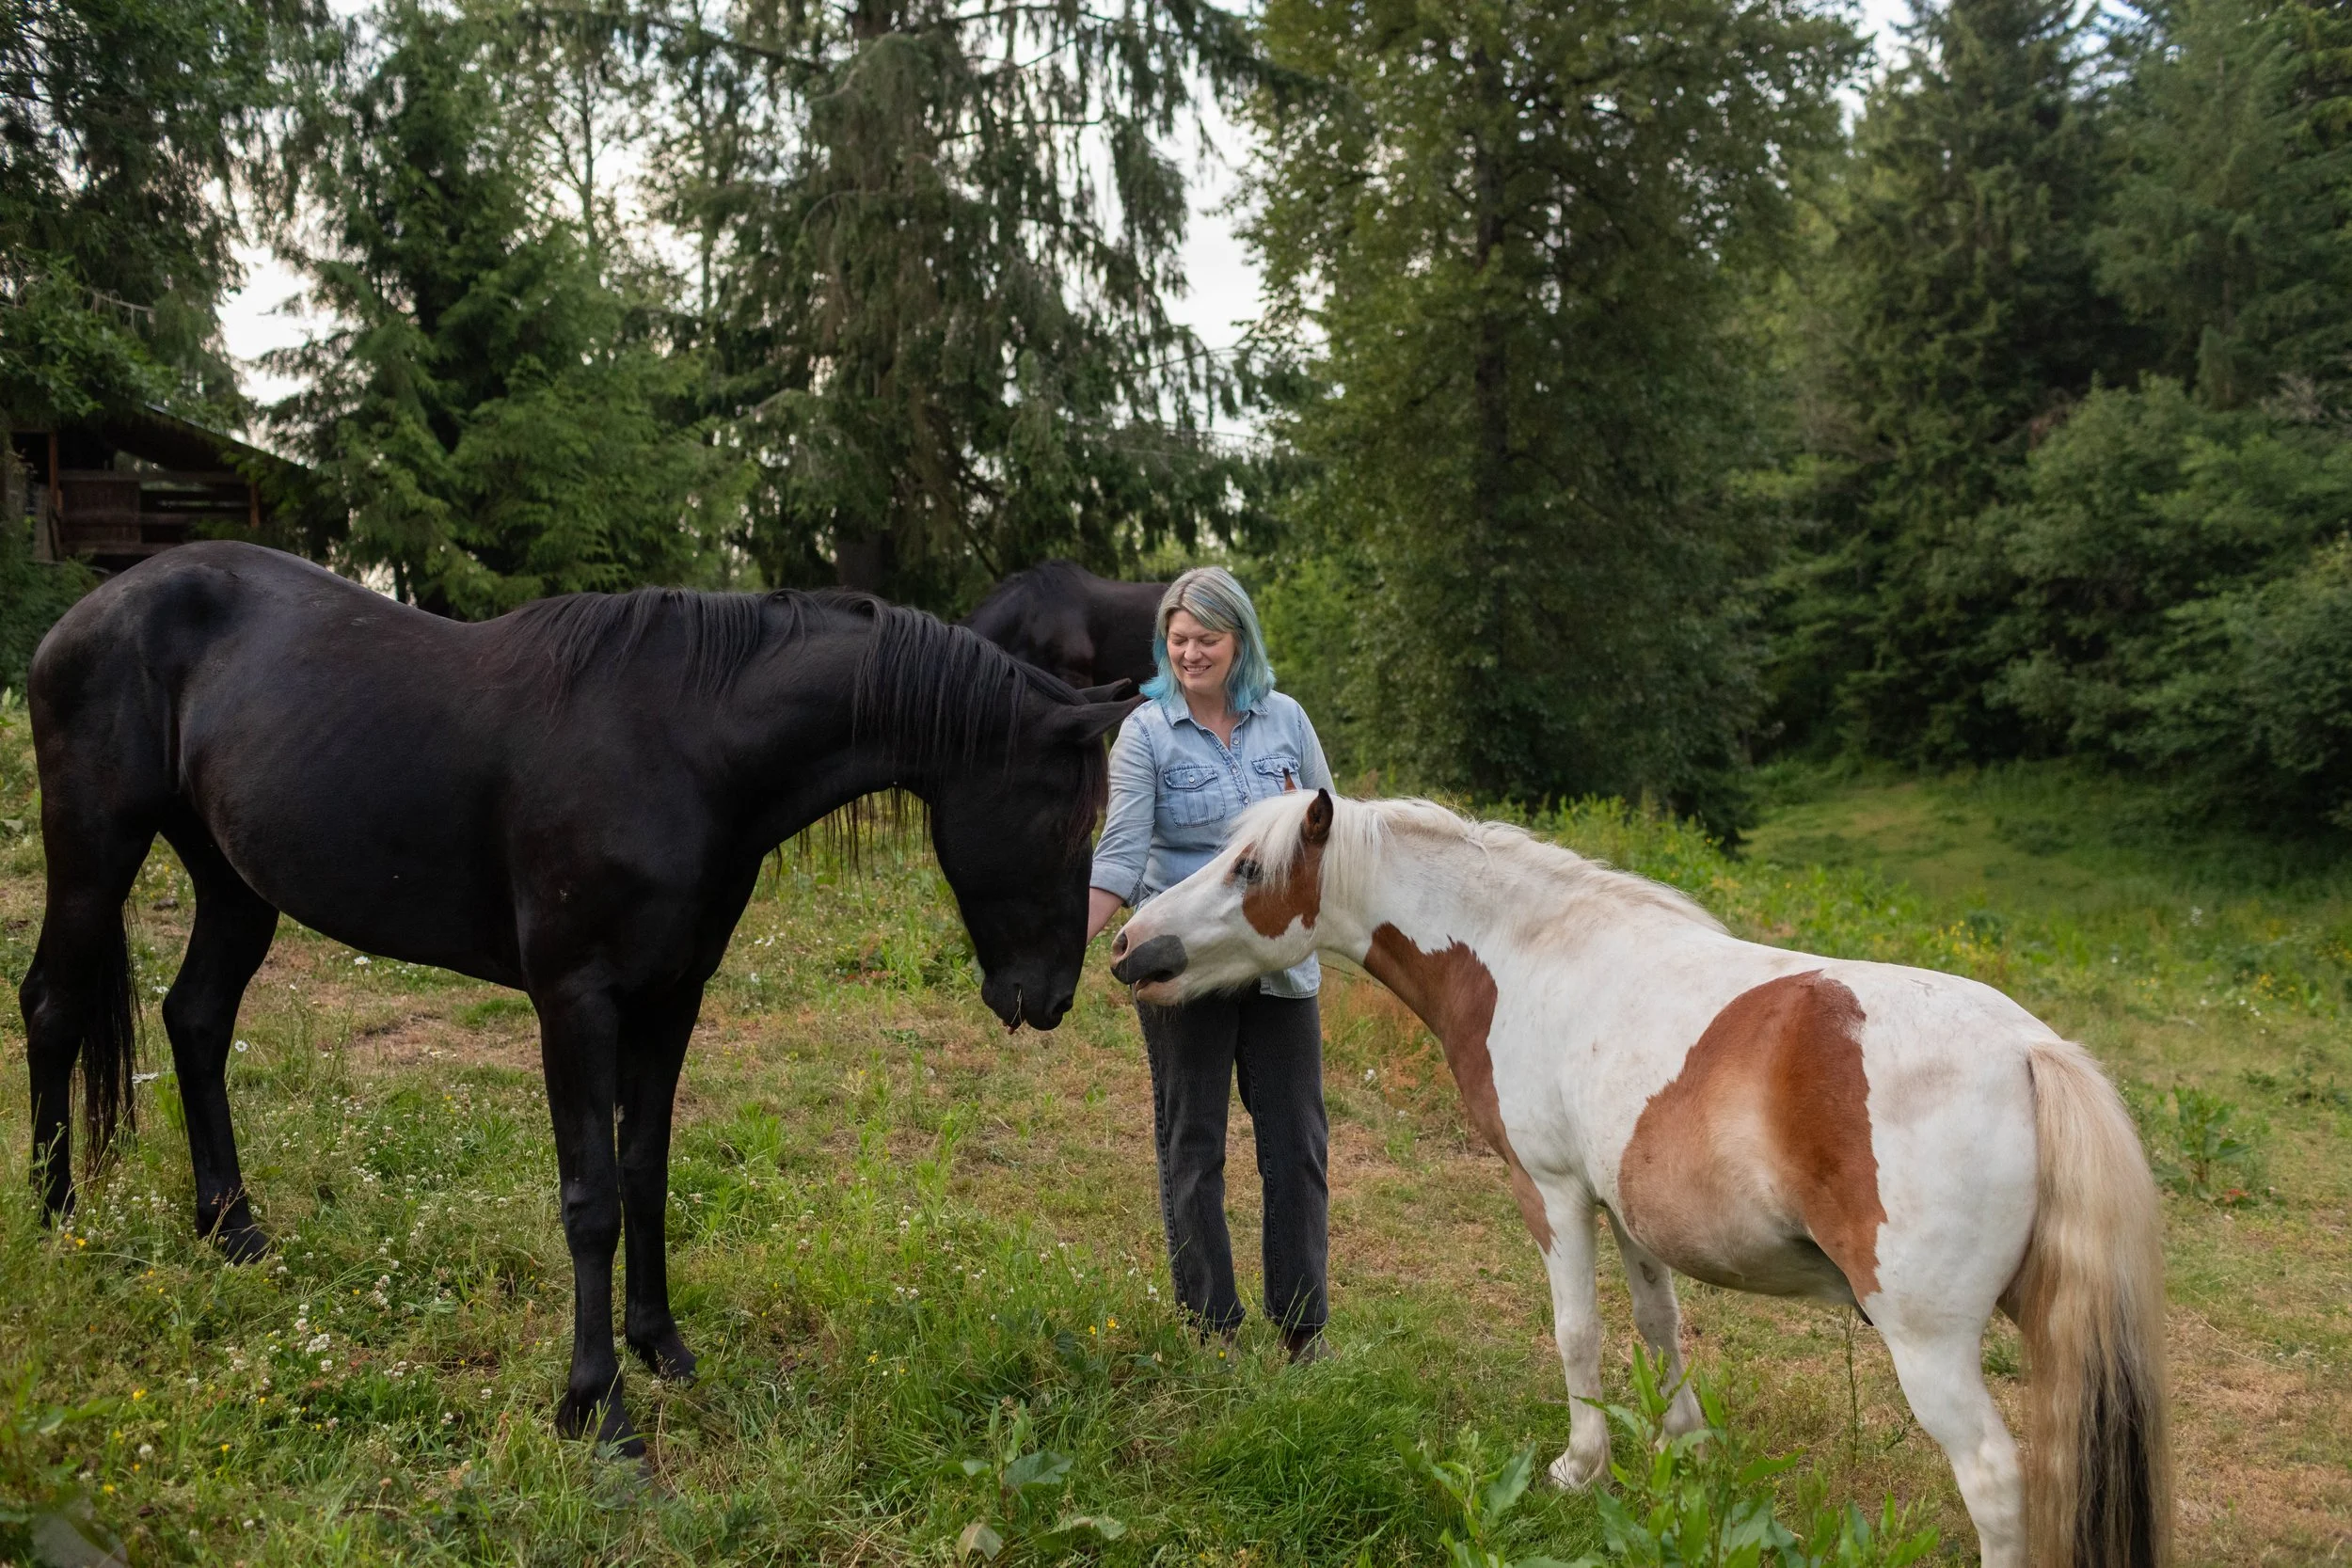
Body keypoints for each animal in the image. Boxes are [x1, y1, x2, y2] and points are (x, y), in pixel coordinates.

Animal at [20, 540, 1138, 1453]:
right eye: (1064, 817)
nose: (1049, 995)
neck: (683, 742)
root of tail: (91, 611)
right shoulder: (577, 1001)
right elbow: (591, 1198)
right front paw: (595, 1407)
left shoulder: (672, 997)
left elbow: (646, 1171)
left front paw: (661, 1345)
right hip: (95, 850)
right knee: (51, 1008)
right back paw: (56, 1217)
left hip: (234, 882)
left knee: (196, 1019)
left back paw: (233, 1230)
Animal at [1109, 790, 2169, 1568]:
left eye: (1247, 867)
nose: (1129, 945)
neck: (1527, 955)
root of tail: (2029, 1050)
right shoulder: (1624, 1206)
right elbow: (1661, 1325)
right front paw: (1683, 1451)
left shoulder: (1552, 1191)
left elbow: (1577, 1334)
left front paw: (1582, 1465)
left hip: (1929, 1344)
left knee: (1994, 1479)